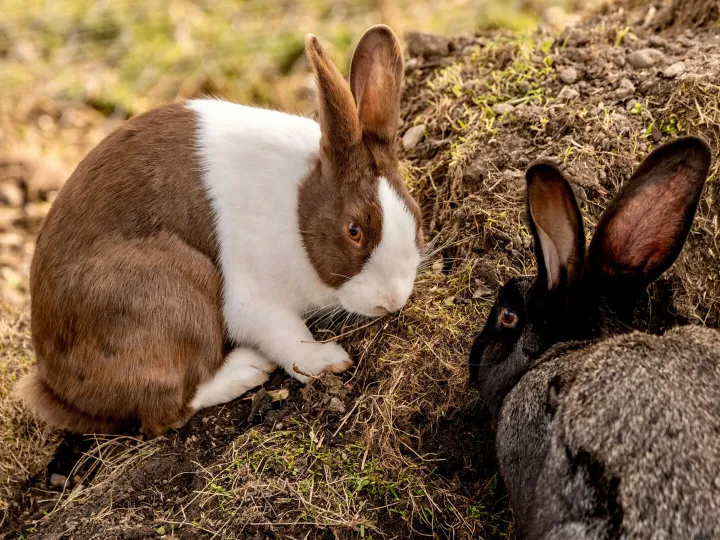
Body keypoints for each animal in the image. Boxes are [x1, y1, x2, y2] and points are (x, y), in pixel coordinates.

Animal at [15, 25, 424, 437]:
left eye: (416, 214)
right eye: (354, 230)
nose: (392, 301)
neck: (297, 207)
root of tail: (56, 388)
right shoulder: (252, 298)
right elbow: (285, 333)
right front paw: (325, 360)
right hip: (172, 289)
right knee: (164, 411)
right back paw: (247, 370)